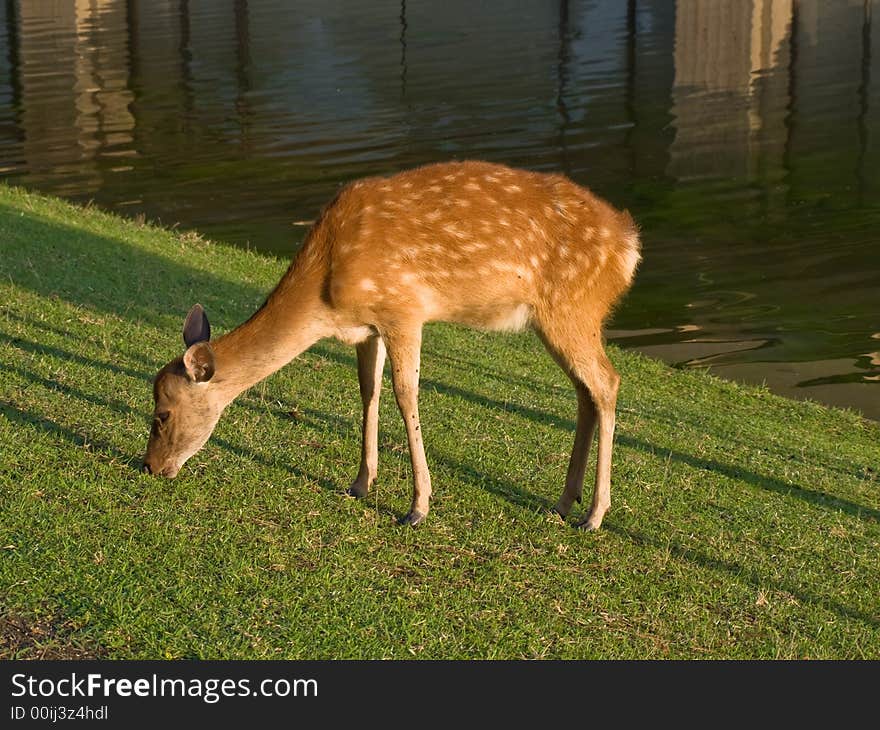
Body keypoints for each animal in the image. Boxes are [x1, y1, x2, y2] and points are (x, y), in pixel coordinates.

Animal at [143, 159, 640, 528]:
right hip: (561, 318)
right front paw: (360, 483)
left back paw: (595, 515)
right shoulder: (367, 328)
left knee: (607, 382)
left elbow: (406, 394)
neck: (326, 291)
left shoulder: (403, 308)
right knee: (585, 392)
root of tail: (629, 245)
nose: (149, 466)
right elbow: (369, 391)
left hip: (572, 308)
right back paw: (563, 502)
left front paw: (417, 507)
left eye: (162, 413)